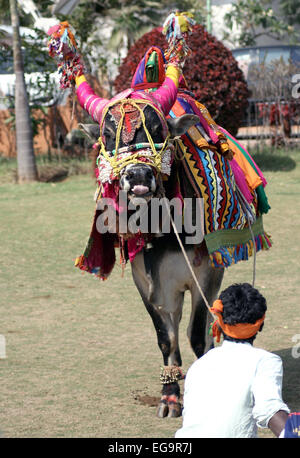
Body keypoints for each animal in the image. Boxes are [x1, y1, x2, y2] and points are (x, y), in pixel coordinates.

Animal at [47, 12, 272, 416]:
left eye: (157, 129)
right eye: (108, 136)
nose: (137, 177)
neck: (163, 228)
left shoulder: (206, 276)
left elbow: (198, 335)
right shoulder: (147, 283)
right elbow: (165, 337)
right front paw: (169, 396)